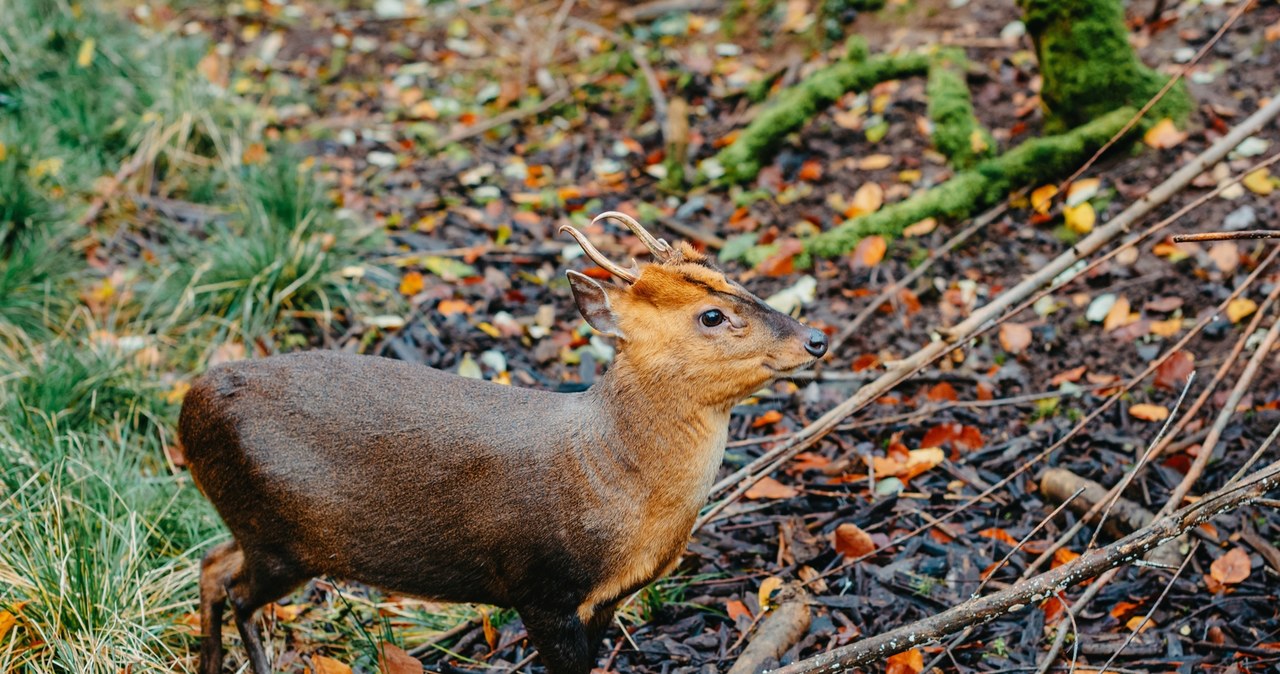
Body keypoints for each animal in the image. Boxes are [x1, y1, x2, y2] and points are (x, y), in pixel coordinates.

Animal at [185, 211, 834, 674]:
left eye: (734, 281)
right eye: (711, 316)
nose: (817, 339)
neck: (613, 478)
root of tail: (190, 403)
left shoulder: (606, 599)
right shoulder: (541, 588)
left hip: (258, 531)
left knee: (211, 566)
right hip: (280, 535)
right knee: (236, 591)